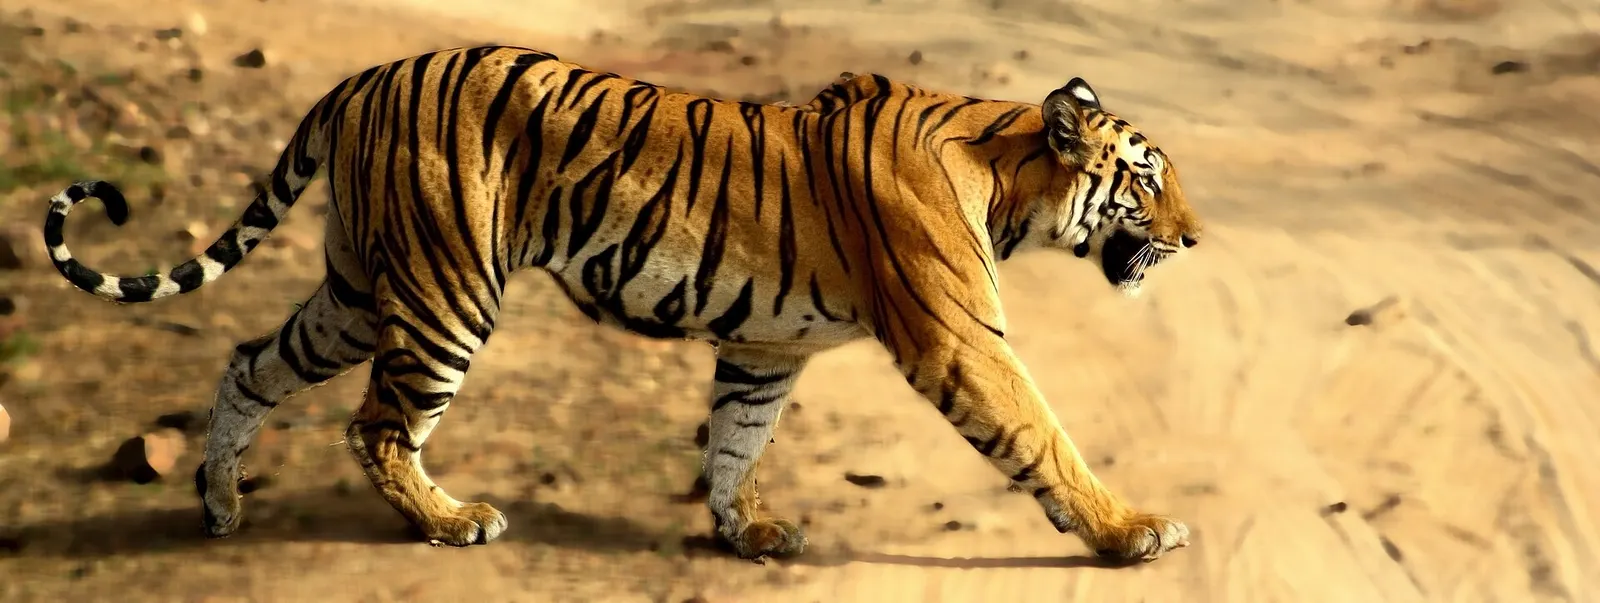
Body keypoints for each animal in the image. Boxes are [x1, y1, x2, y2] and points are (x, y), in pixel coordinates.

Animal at [41, 45, 1202, 562]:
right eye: (1147, 180)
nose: (1195, 238)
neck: (1012, 180)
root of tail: (366, 75)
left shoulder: (766, 348)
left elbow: (736, 438)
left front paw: (747, 531)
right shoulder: (962, 338)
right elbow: (1043, 435)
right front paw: (1131, 530)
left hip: (361, 288)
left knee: (250, 358)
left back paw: (219, 505)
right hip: (446, 288)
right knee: (377, 425)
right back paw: (451, 520)